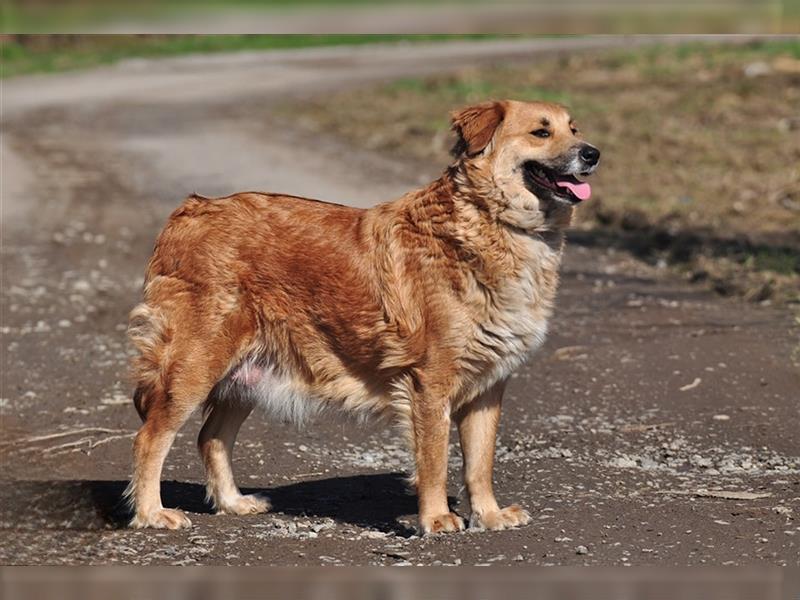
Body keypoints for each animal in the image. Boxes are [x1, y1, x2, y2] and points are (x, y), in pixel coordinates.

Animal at [125, 99, 600, 536]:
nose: (593, 153)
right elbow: (434, 460)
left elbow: (479, 464)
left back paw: (232, 502)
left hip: (246, 375)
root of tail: (190, 211)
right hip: (195, 366)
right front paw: (436, 518)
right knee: (151, 437)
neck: (489, 220)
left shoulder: (489, 387)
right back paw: (152, 513)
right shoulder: (430, 383)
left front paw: (489, 514)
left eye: (573, 129)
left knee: (212, 437)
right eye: (541, 132)